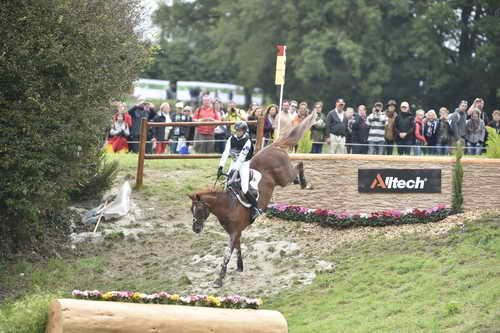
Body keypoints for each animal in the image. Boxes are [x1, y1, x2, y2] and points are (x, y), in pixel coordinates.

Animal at [188, 110, 316, 286]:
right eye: (191, 210)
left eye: (200, 209)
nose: (196, 229)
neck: (227, 205)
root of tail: (273, 146)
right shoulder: (235, 232)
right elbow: (237, 248)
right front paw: (239, 267)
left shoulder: (234, 232)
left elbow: (227, 253)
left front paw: (219, 279)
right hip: (283, 179)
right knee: (297, 172)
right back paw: (305, 183)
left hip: (284, 177)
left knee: (299, 166)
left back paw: (306, 184)